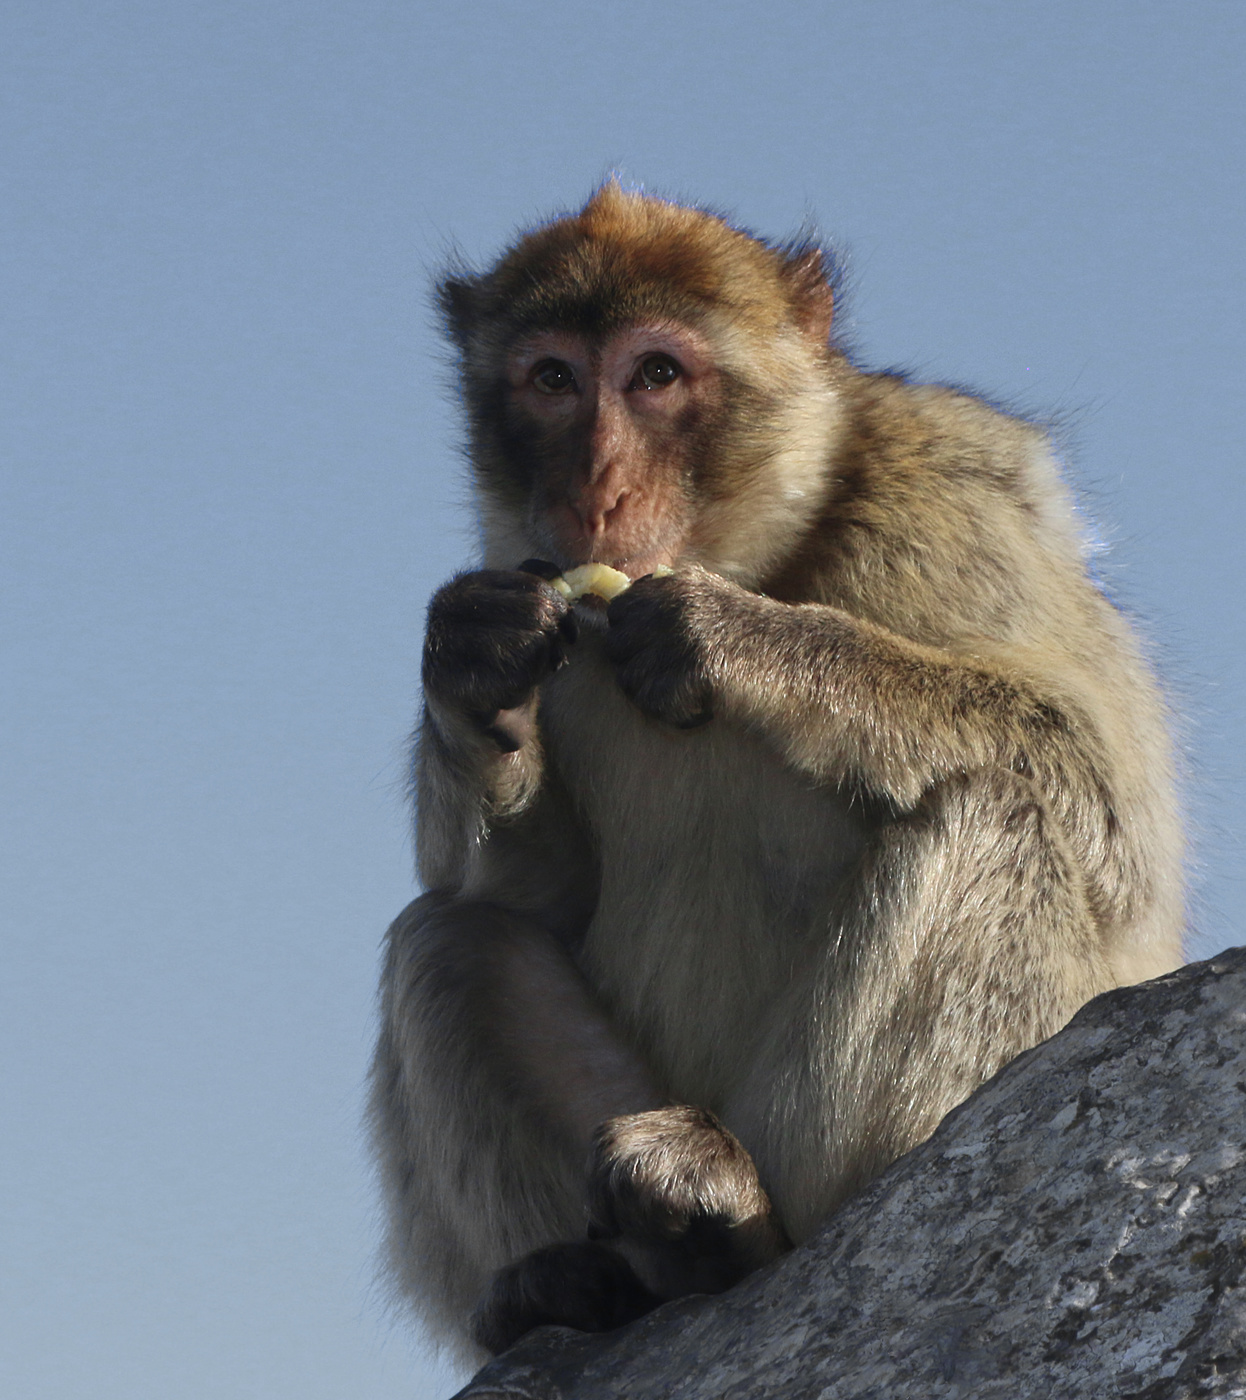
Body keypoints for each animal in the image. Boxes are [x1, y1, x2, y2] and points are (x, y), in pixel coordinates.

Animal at [366, 180, 1176, 1360]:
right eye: (552, 379)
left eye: (657, 373)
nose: (594, 492)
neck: (753, 550)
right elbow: (522, 891)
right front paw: (475, 671)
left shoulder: (955, 497)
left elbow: (1105, 804)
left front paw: (735, 641)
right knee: (451, 940)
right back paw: (599, 1278)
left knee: (1003, 813)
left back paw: (738, 1222)